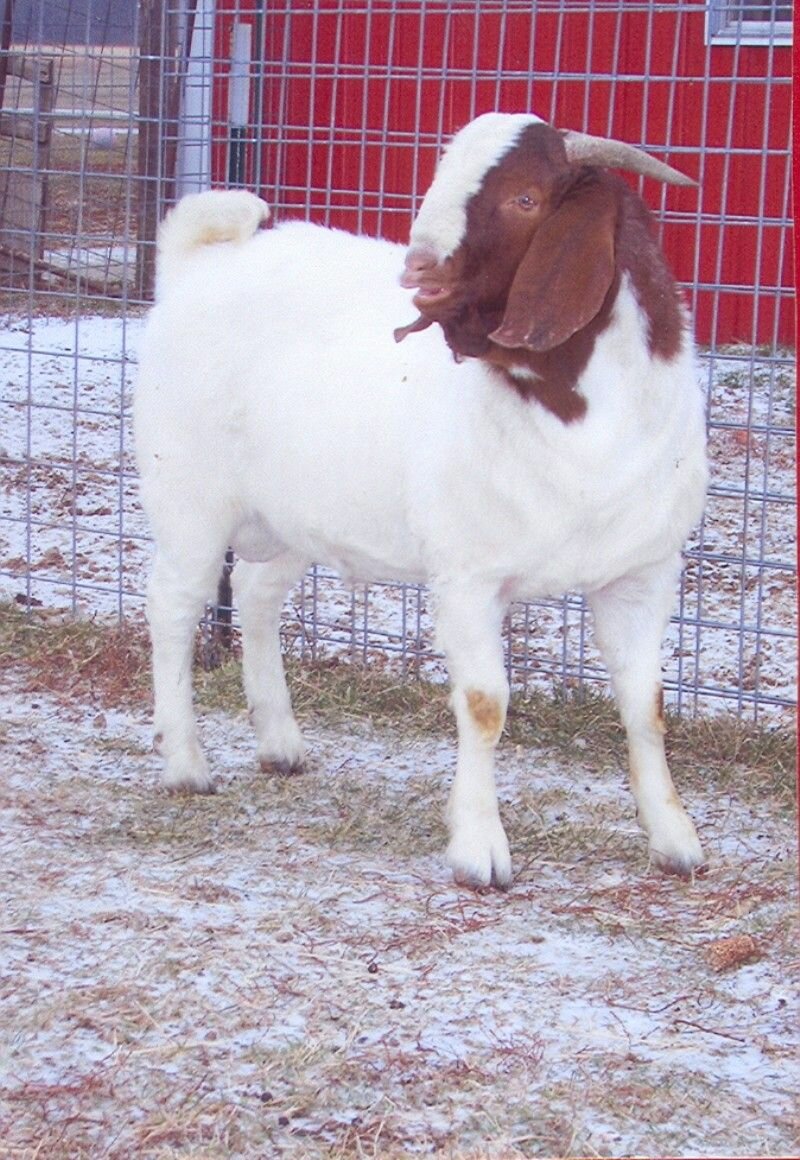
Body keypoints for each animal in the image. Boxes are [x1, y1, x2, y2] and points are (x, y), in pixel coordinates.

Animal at [134, 112, 708, 889]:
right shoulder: (468, 576)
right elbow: (485, 705)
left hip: (293, 514)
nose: (418, 270)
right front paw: (479, 849)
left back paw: (281, 743)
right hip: (188, 495)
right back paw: (186, 763)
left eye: (525, 198)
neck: (577, 421)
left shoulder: (643, 572)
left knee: (254, 596)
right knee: (174, 605)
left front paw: (675, 839)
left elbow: (646, 704)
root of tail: (197, 264)